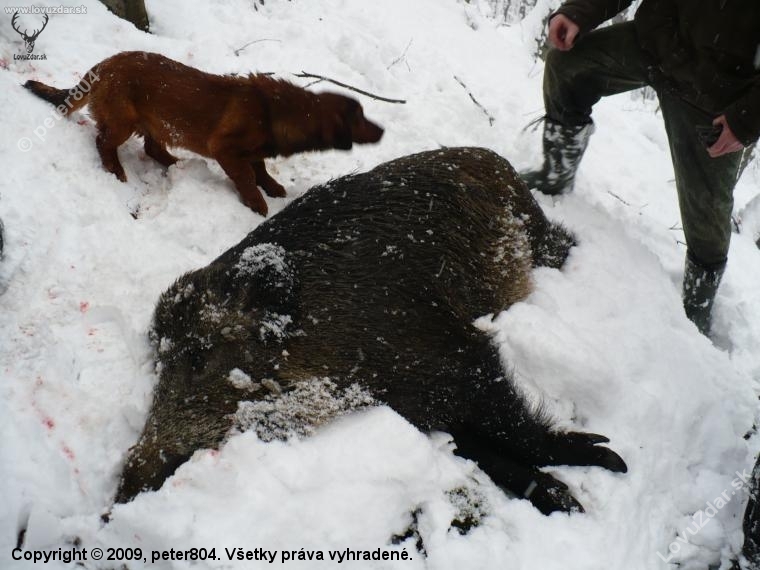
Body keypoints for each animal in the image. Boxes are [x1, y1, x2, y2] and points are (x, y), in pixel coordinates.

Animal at [24, 51, 384, 216]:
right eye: (359, 117)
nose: (382, 131)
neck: (274, 111)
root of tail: (104, 65)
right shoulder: (226, 149)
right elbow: (247, 179)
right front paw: (257, 204)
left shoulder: (252, 152)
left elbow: (260, 170)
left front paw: (272, 187)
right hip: (123, 123)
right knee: (103, 142)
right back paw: (116, 170)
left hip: (157, 123)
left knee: (154, 150)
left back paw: (175, 166)